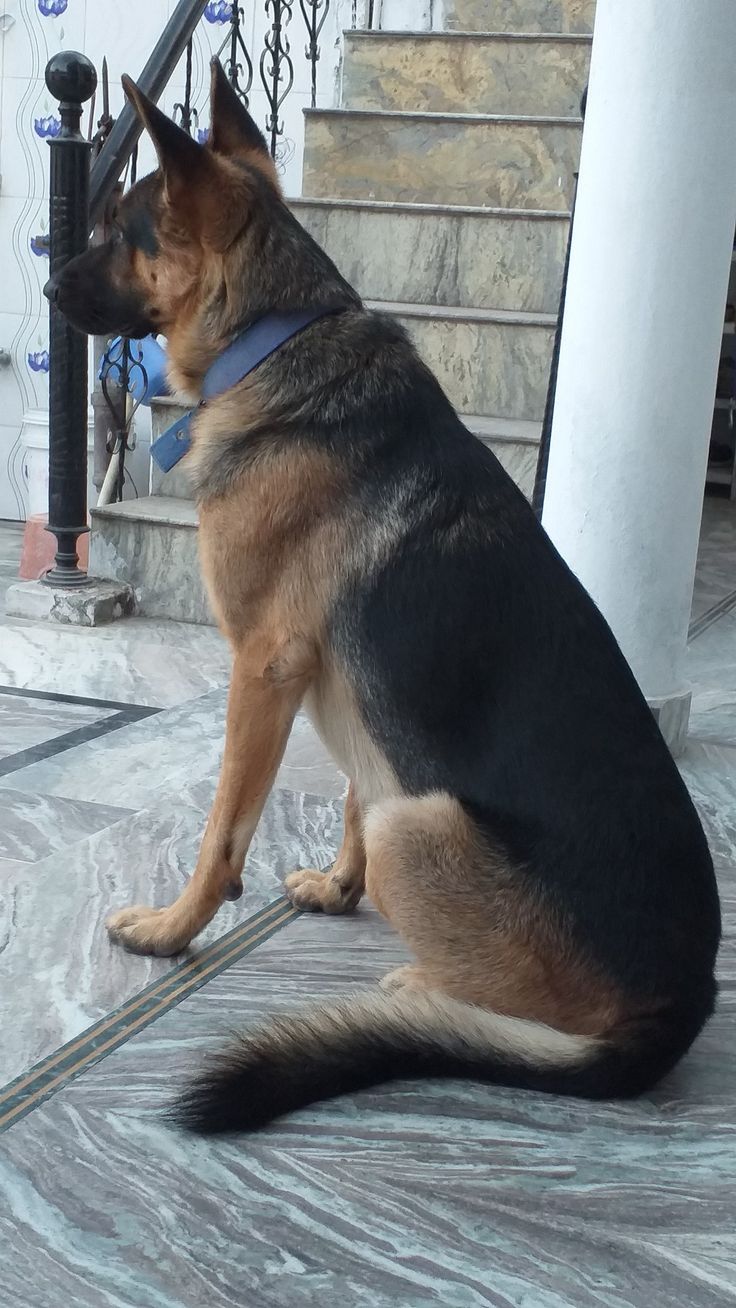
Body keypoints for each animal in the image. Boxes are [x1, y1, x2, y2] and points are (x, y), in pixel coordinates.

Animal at [44, 61, 721, 1130]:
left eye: (120, 230)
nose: (41, 282)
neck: (273, 342)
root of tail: (677, 1011)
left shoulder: (263, 669)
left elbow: (221, 832)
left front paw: (173, 929)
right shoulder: (351, 692)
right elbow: (357, 787)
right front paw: (337, 886)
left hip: (423, 825)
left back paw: (423, 995)